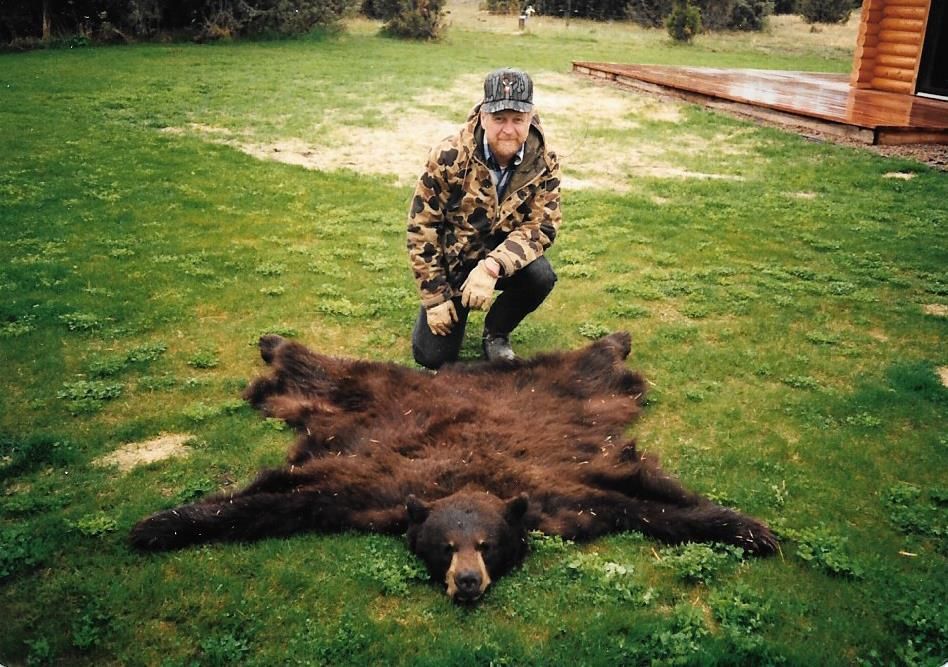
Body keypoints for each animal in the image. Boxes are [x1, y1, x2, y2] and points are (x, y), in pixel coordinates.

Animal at [130, 332, 777, 603]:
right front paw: (160, 524)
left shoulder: (565, 490)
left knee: (591, 362)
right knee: (317, 369)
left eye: (487, 545)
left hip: (560, 388)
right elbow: (274, 501)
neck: (469, 476)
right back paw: (273, 342)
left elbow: (644, 503)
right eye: (446, 548)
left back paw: (617, 337)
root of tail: (459, 372)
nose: (467, 580)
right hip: (365, 393)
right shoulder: (370, 488)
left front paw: (747, 527)